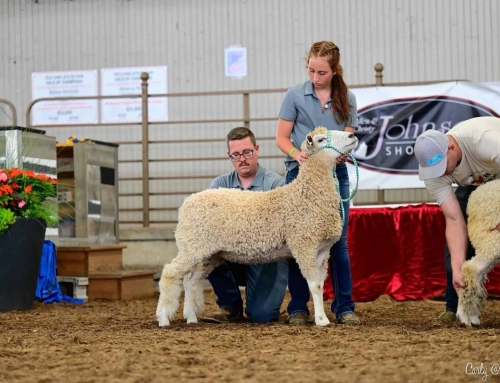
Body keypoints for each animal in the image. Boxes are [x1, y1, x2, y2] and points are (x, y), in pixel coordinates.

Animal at [154, 128, 358, 328]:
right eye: (321, 139)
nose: (352, 135)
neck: (307, 194)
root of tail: (187, 203)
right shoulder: (304, 245)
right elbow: (314, 285)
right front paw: (322, 320)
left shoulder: (322, 251)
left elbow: (320, 286)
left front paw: (322, 317)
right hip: (192, 245)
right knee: (170, 273)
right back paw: (163, 318)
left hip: (210, 253)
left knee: (190, 280)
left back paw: (190, 317)